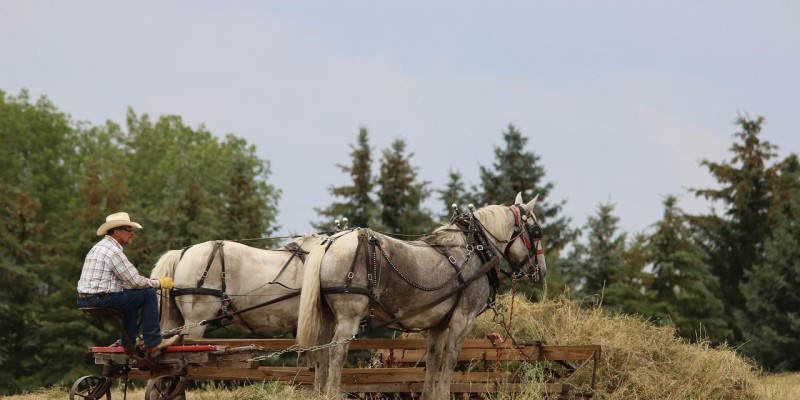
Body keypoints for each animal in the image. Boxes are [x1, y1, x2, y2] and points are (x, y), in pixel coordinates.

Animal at [296, 192, 548, 398]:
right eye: (537, 232)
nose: (542, 272)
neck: (476, 249)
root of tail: (330, 242)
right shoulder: (463, 320)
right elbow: (450, 359)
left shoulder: (438, 324)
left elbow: (433, 360)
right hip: (349, 316)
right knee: (336, 353)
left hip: (327, 315)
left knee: (320, 353)